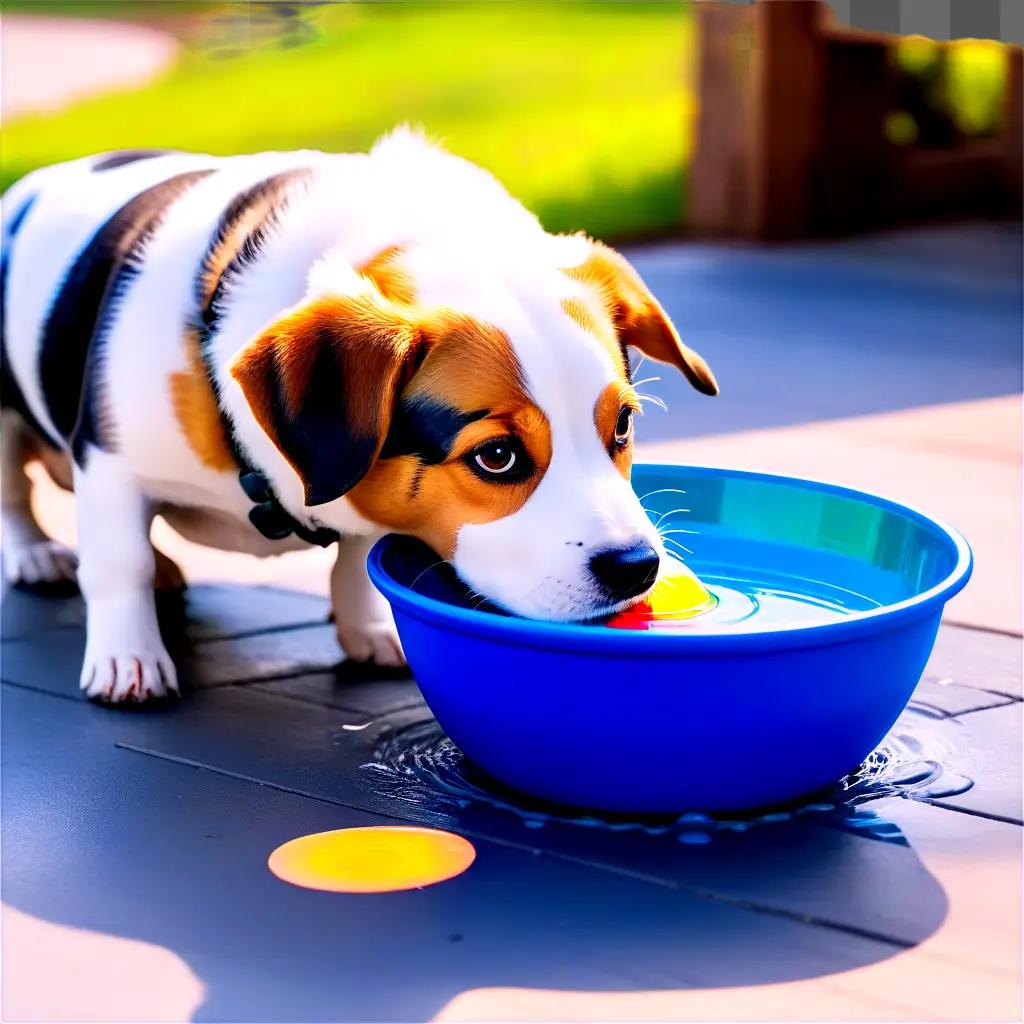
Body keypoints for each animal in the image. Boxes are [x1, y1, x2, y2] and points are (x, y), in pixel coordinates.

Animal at [0, 130, 716, 704]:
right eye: (496, 456)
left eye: (621, 425)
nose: (637, 568)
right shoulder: (109, 459)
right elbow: (119, 562)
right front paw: (129, 659)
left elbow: (358, 556)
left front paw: (367, 627)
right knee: (18, 493)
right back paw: (39, 555)